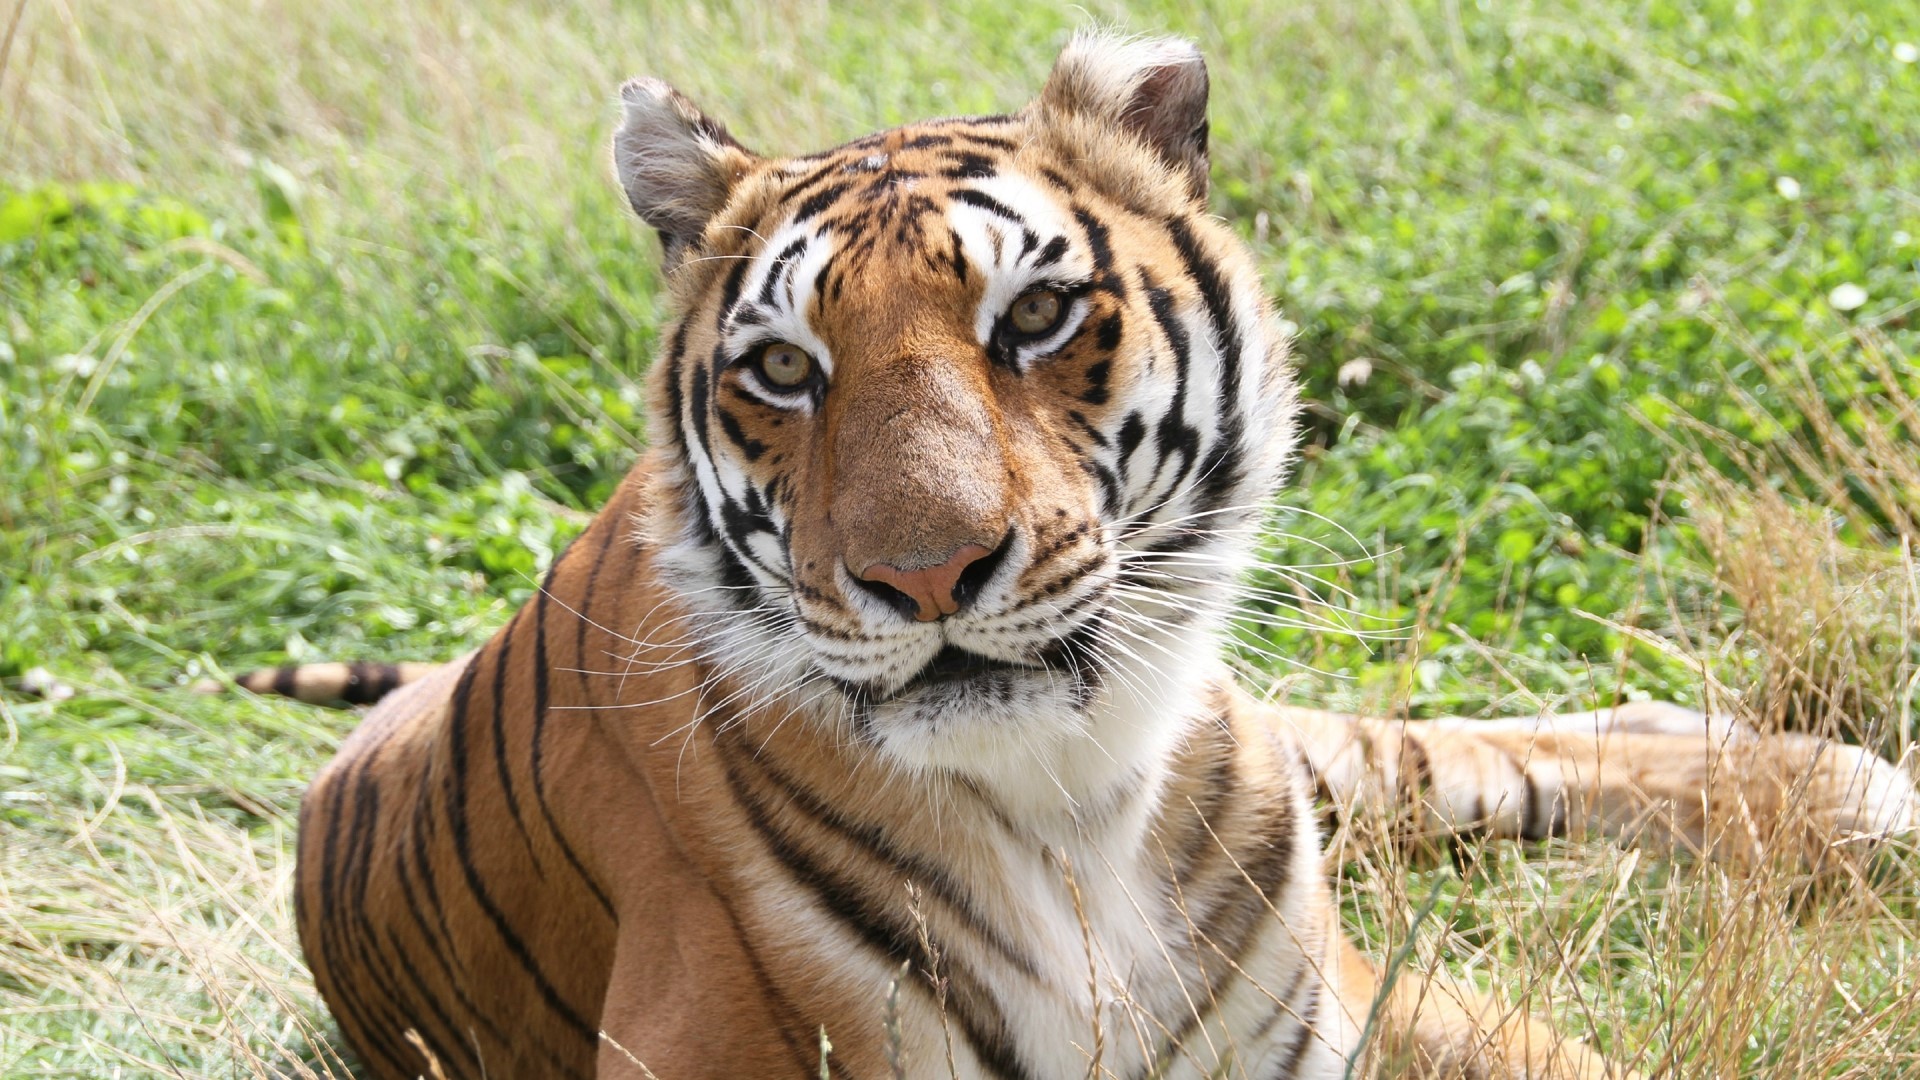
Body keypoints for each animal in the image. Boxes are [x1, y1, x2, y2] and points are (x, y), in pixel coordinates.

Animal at [281, 32, 1918, 1080]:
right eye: (786, 369)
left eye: (1036, 317)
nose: (926, 577)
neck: (1071, 809)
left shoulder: (1360, 999)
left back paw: (1828, 784)